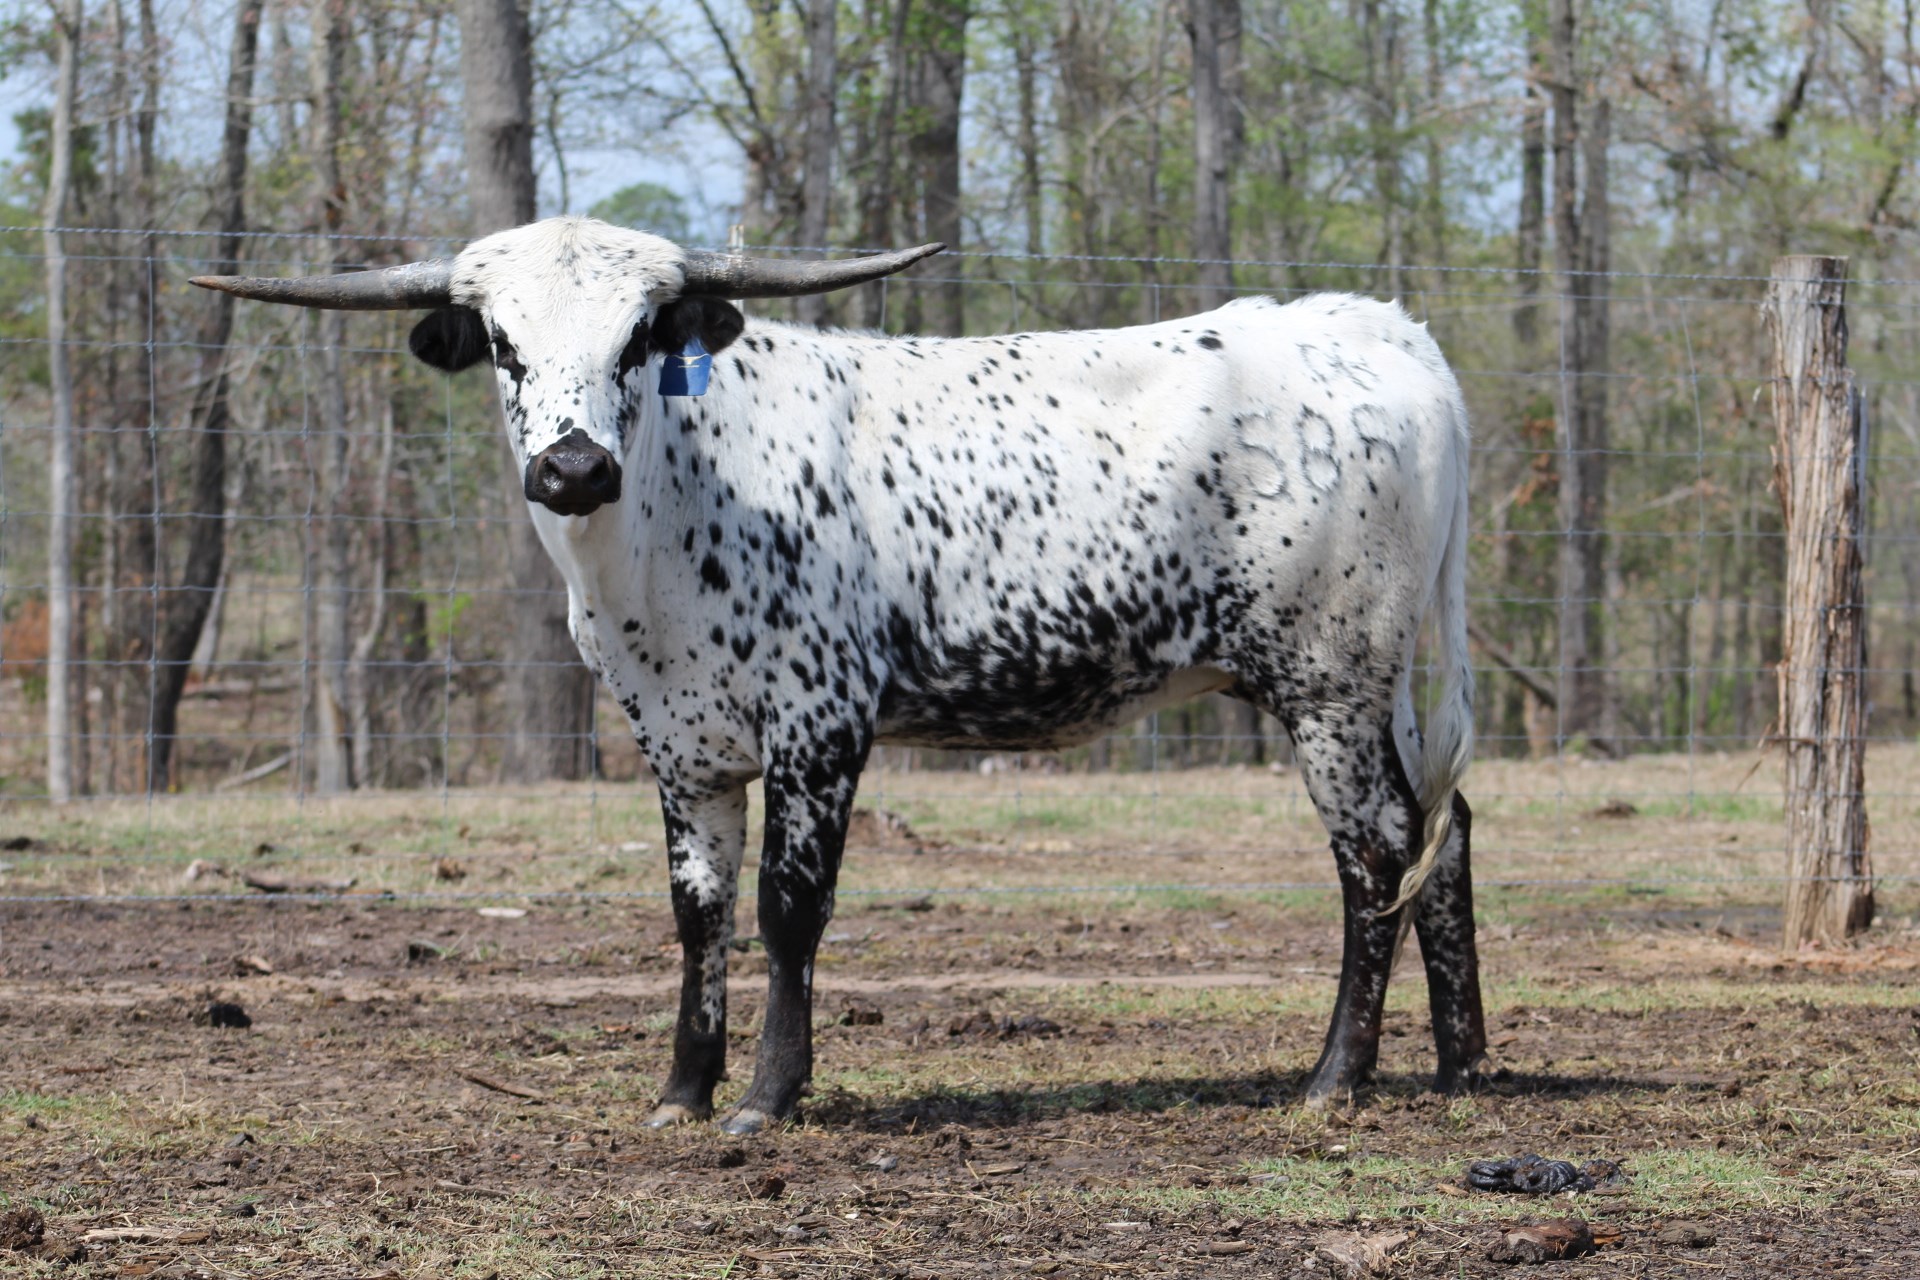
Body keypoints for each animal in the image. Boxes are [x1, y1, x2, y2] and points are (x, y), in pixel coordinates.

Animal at [194, 217, 1485, 1135]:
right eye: (504, 346)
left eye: (639, 338)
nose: (571, 467)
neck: (668, 517)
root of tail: (1380, 329)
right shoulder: (677, 741)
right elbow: (698, 910)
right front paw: (683, 1089)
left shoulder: (819, 722)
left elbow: (786, 906)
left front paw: (767, 1097)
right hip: (1373, 686)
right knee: (1444, 823)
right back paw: (1464, 1061)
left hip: (1325, 678)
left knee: (1375, 850)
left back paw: (1335, 1075)